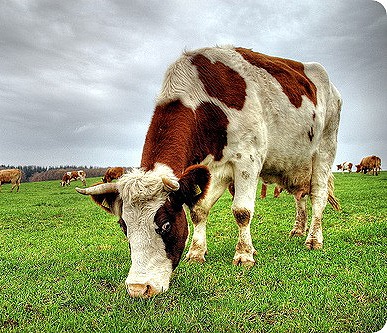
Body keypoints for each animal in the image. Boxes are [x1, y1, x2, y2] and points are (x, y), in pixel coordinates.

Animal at [76, 46, 342, 296]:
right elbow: (198, 211)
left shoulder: (248, 159)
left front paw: (244, 255)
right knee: (300, 197)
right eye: (124, 226)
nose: (139, 288)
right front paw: (196, 252)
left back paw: (313, 239)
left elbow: (242, 212)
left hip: (324, 150)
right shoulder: (211, 170)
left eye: (166, 225)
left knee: (317, 196)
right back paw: (297, 229)